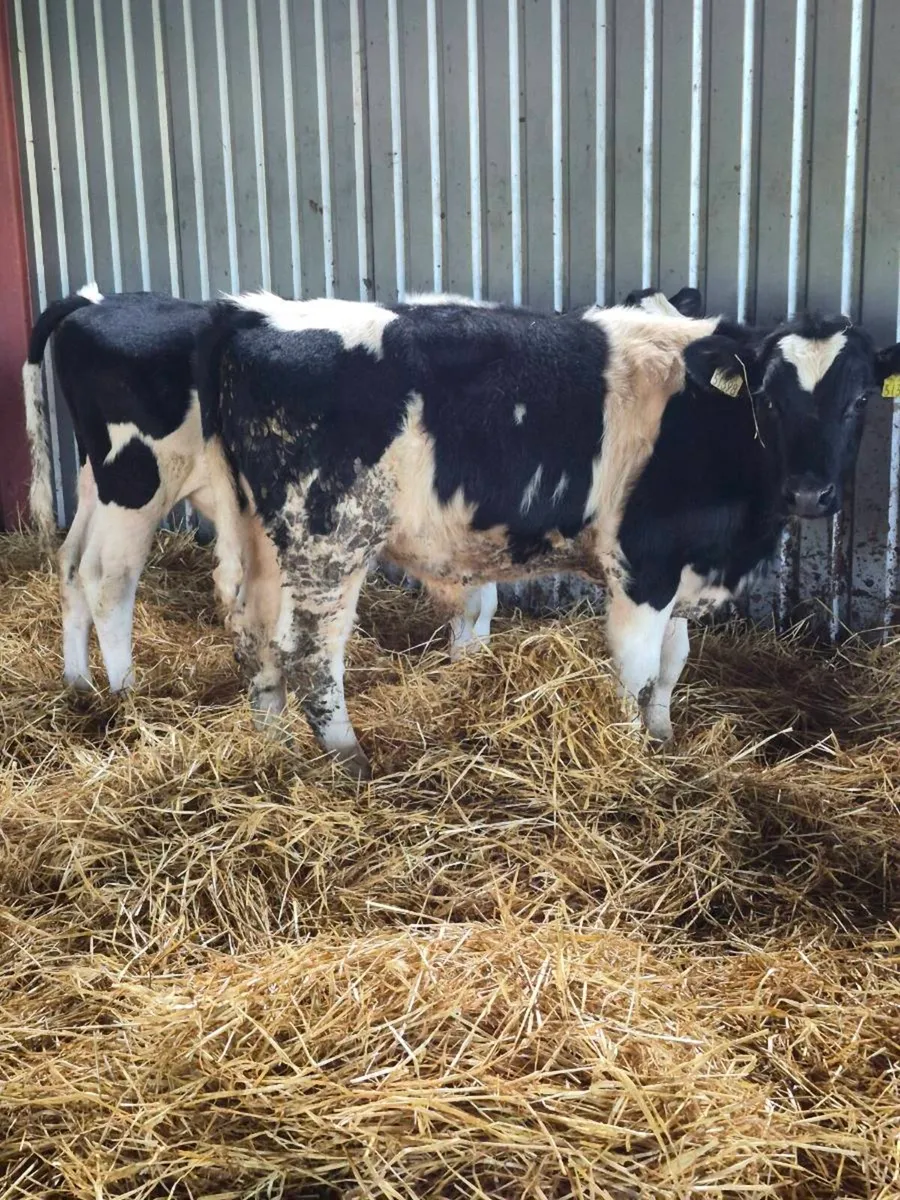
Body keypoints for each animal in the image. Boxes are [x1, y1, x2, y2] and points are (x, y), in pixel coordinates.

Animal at [23, 283, 701, 701]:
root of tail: (99, 300)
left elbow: (477, 604)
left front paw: (467, 664)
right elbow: (476, 602)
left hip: (96, 480)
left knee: (70, 562)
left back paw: (79, 684)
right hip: (137, 479)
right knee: (109, 577)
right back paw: (125, 693)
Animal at [196, 292, 900, 780]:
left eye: (862, 399)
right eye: (771, 399)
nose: (808, 493)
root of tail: (255, 314)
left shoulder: (683, 569)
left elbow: (672, 666)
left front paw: (664, 740)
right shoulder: (642, 566)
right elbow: (637, 670)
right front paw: (631, 757)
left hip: (260, 535)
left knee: (254, 637)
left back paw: (275, 747)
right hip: (331, 539)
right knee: (311, 651)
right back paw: (348, 760)